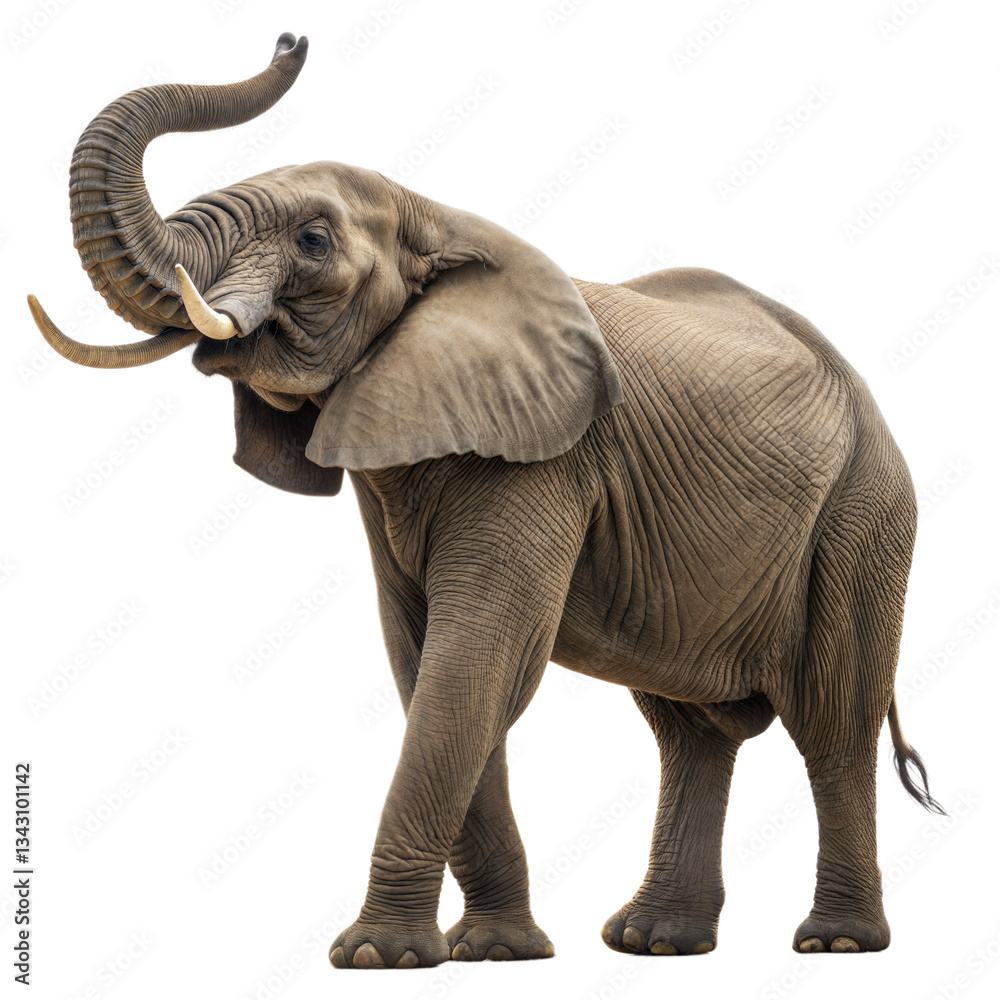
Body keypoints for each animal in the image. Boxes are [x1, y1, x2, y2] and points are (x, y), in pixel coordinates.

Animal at [30, 34, 943, 968]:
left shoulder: (546, 458)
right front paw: (496, 951)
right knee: (690, 731)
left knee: (833, 717)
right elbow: (427, 660)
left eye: (313, 239)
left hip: (865, 510)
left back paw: (835, 943)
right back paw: (653, 941)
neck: (435, 216)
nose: (291, 41)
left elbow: (478, 659)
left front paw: (375, 958)